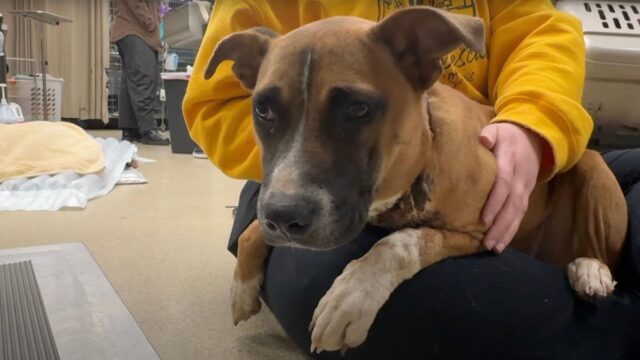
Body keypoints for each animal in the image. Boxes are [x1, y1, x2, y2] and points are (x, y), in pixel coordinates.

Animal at [206, 5, 632, 354]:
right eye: (262, 110)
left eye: (357, 109)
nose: (284, 217)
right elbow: (254, 226)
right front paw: (242, 281)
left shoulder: (480, 233)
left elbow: (400, 243)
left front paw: (352, 295)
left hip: (593, 167)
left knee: (604, 250)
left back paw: (590, 268)